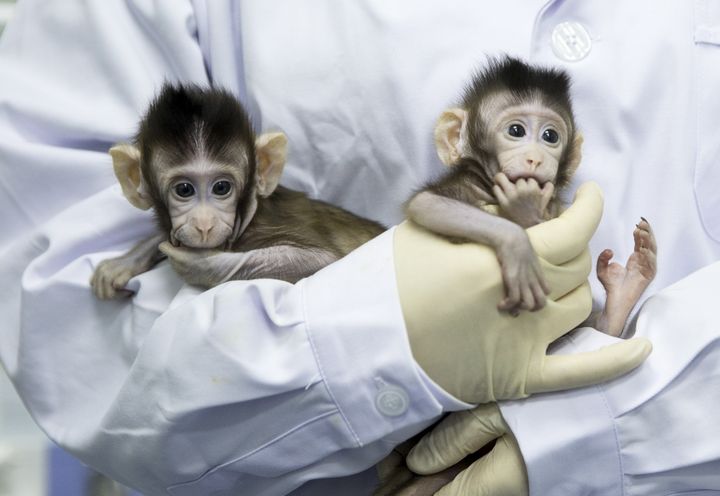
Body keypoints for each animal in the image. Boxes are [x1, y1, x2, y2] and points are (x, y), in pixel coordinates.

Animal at [91, 84, 388, 298]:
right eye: (184, 189)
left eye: (221, 187)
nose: (204, 224)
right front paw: (128, 259)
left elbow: (325, 261)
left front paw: (203, 264)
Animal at [404, 58, 660, 338]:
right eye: (516, 130)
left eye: (550, 136)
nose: (535, 158)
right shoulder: (464, 185)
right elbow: (427, 204)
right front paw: (518, 244)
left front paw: (526, 209)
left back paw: (624, 293)